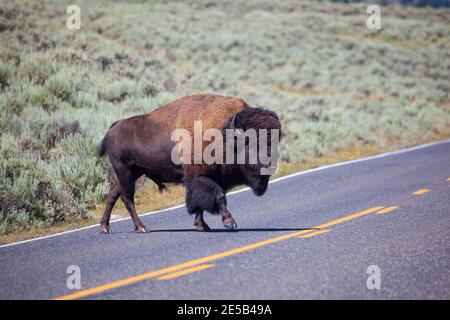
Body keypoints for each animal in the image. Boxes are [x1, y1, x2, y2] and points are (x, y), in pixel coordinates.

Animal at [98, 94, 282, 234]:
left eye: (274, 142)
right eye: (251, 143)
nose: (270, 165)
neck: (223, 133)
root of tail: (114, 127)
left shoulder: (209, 179)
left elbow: (201, 203)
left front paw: (202, 226)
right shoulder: (199, 177)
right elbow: (218, 196)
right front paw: (229, 222)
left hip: (134, 172)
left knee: (113, 194)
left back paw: (105, 228)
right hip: (124, 171)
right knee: (127, 197)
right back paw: (142, 228)